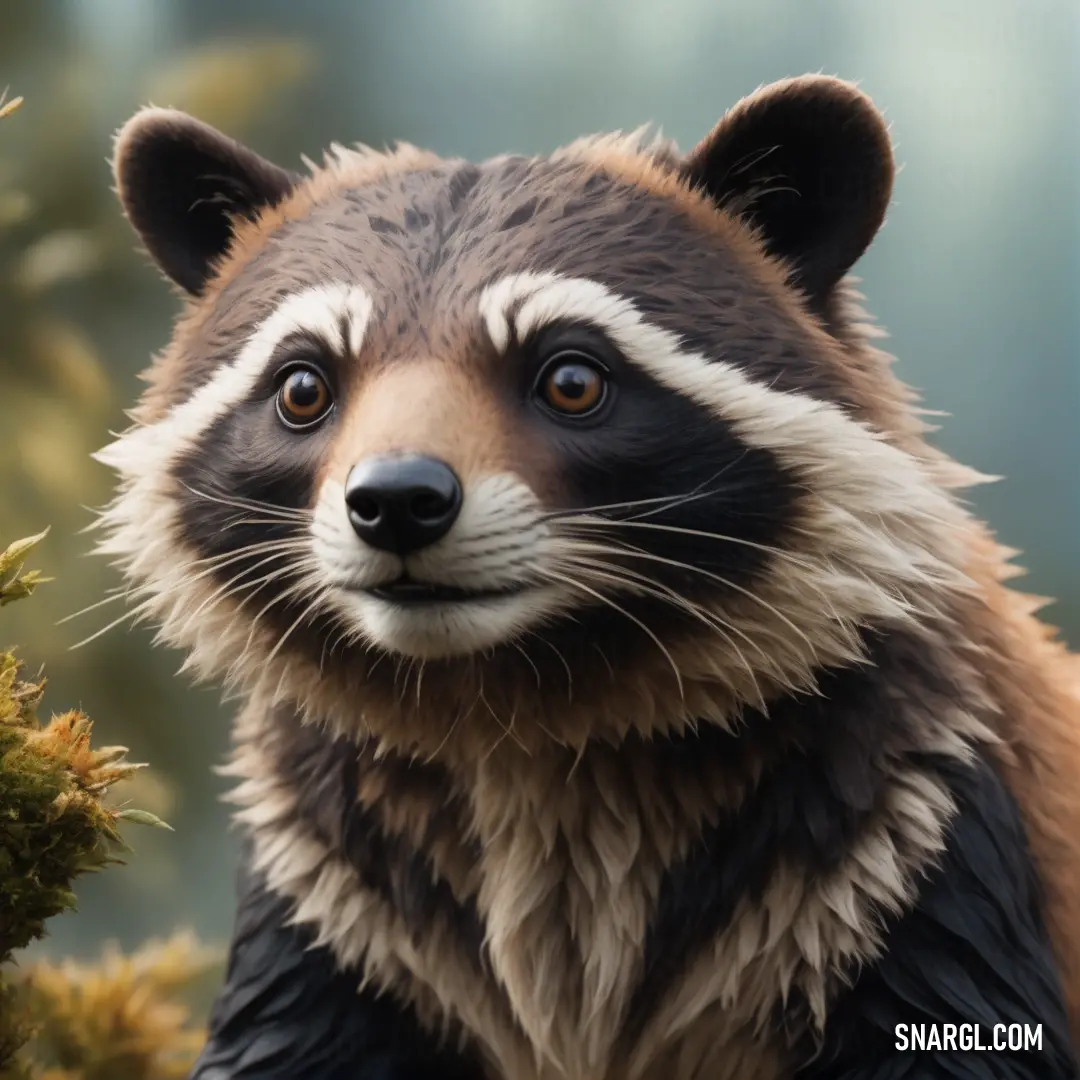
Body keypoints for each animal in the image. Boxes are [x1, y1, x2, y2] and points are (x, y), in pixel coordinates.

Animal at [92, 73, 1080, 1071]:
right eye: (304, 387)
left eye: (571, 378)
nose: (397, 502)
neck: (517, 711)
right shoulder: (329, 885)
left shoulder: (914, 833)